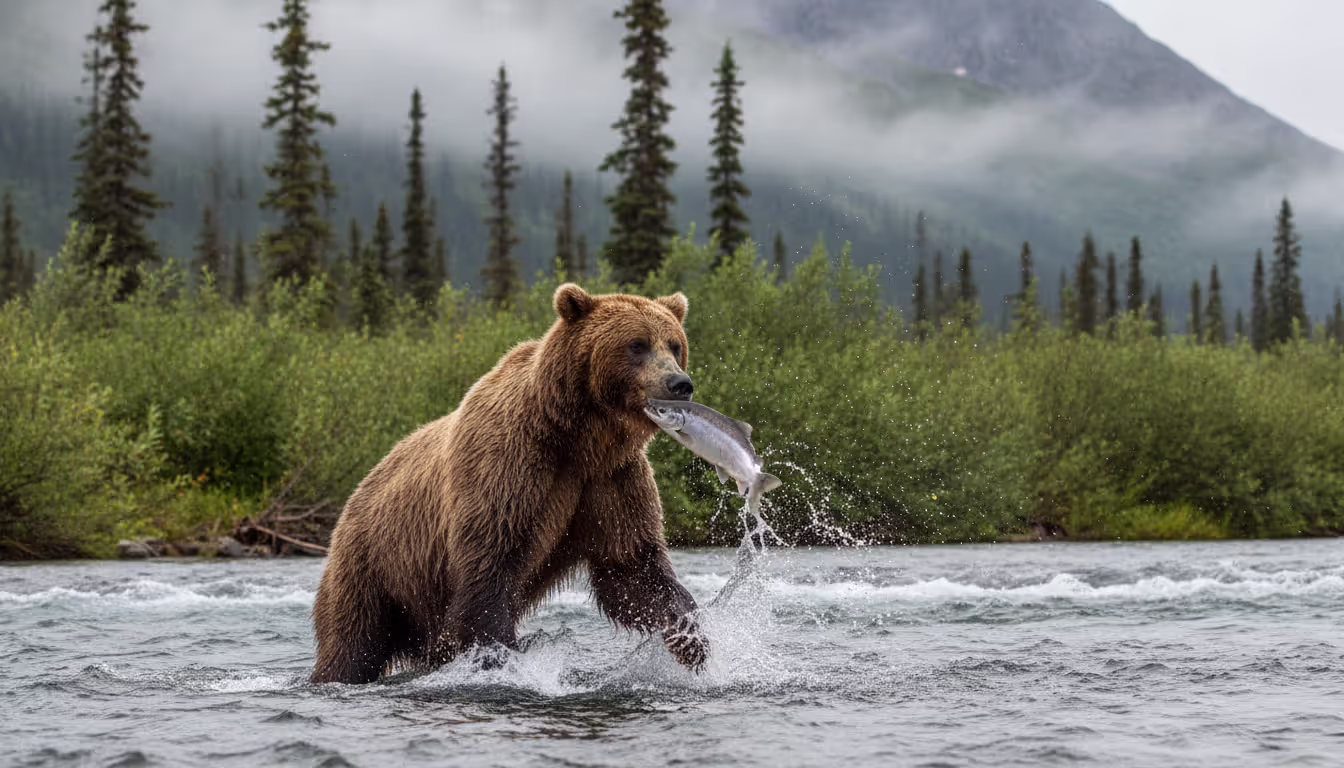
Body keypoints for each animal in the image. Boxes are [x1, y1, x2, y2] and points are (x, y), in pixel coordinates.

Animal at [308, 283, 708, 684]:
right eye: (637, 345)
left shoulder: (610, 478)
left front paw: (692, 639)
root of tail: (355, 495)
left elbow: (631, 566)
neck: (578, 437)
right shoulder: (510, 466)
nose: (679, 384)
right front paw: (499, 655)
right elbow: (491, 564)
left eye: (674, 345)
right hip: (375, 565)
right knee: (353, 642)